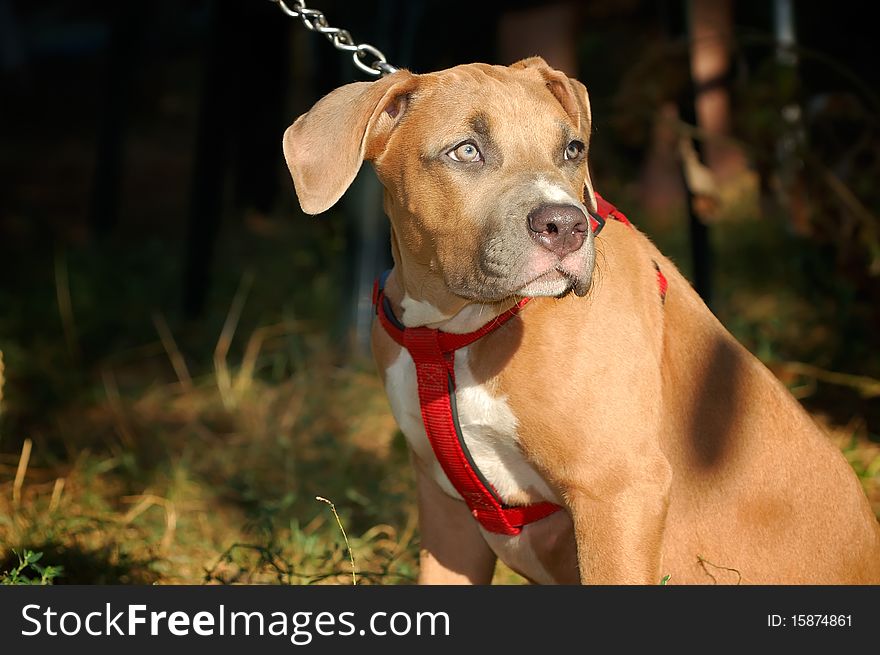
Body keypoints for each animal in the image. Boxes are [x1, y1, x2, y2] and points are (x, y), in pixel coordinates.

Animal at [284, 60, 880, 584]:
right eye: (467, 151)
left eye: (572, 150)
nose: (565, 225)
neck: (456, 331)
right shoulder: (446, 514)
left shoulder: (617, 490)